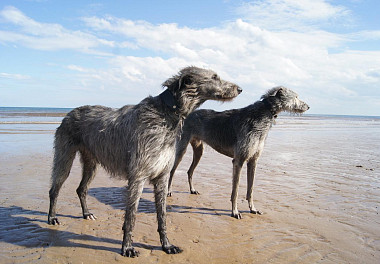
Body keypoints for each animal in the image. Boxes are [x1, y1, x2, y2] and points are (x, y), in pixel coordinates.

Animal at [47, 66, 240, 258]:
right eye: (214, 77)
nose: (240, 89)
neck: (166, 113)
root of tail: (69, 113)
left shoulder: (162, 176)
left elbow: (162, 216)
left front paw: (167, 245)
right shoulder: (137, 177)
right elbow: (131, 216)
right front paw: (127, 247)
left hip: (91, 162)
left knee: (81, 189)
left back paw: (86, 214)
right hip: (65, 156)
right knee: (55, 188)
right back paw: (52, 217)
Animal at [168, 86, 308, 219]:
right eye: (296, 97)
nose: (308, 106)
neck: (265, 112)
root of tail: (189, 113)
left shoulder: (253, 161)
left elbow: (250, 189)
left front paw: (253, 209)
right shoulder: (238, 161)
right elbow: (235, 191)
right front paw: (235, 212)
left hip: (199, 151)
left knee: (190, 171)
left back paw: (192, 190)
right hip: (181, 148)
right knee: (172, 171)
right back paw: (168, 191)